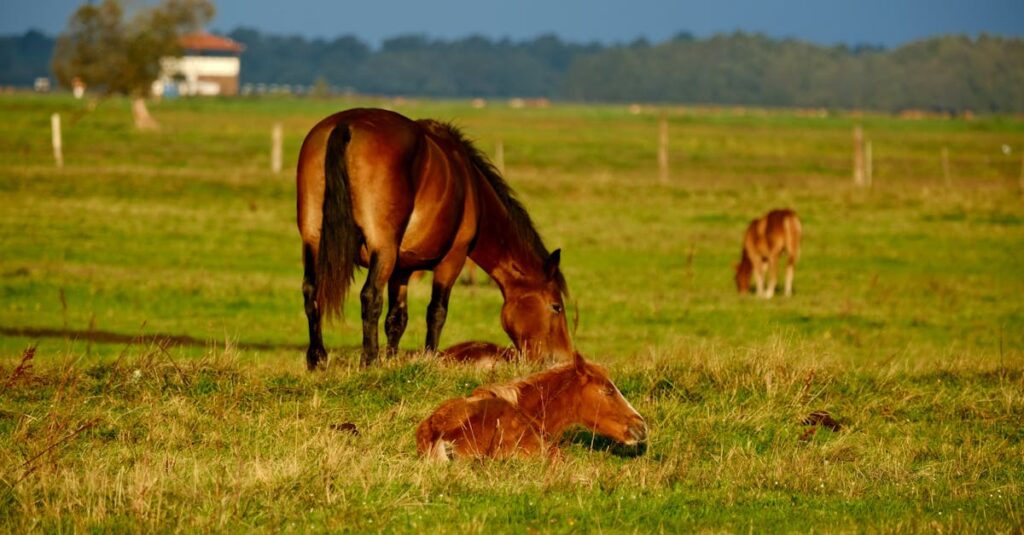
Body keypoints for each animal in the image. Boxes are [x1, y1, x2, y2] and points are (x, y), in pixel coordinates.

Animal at [297, 108, 572, 369]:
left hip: (313, 241)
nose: (564, 357)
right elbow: (436, 312)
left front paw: (392, 360)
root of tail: (346, 124)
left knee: (311, 292)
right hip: (382, 250)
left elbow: (397, 318)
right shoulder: (452, 260)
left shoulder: (402, 269)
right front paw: (428, 359)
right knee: (370, 296)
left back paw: (317, 359)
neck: (473, 189)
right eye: (556, 307)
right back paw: (369, 360)